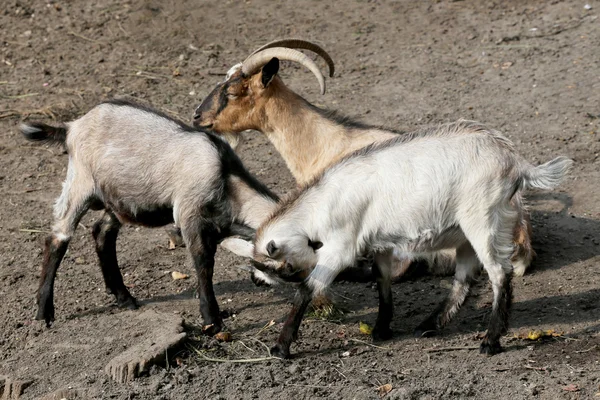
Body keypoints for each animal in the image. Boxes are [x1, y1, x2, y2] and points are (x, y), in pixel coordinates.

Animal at [20, 100, 278, 334]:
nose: (258, 281)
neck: (227, 177)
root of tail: (73, 126)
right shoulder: (189, 215)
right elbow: (204, 263)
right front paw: (212, 321)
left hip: (118, 200)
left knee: (102, 233)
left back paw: (124, 297)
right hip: (80, 183)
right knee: (58, 238)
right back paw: (44, 312)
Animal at [252, 119, 572, 360]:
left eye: (277, 268)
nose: (257, 281)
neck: (322, 203)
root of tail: (515, 162)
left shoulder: (340, 248)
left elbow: (307, 289)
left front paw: (280, 347)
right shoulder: (379, 244)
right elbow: (382, 281)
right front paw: (381, 330)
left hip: (484, 222)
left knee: (499, 274)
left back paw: (490, 341)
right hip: (466, 235)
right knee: (464, 280)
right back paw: (429, 325)